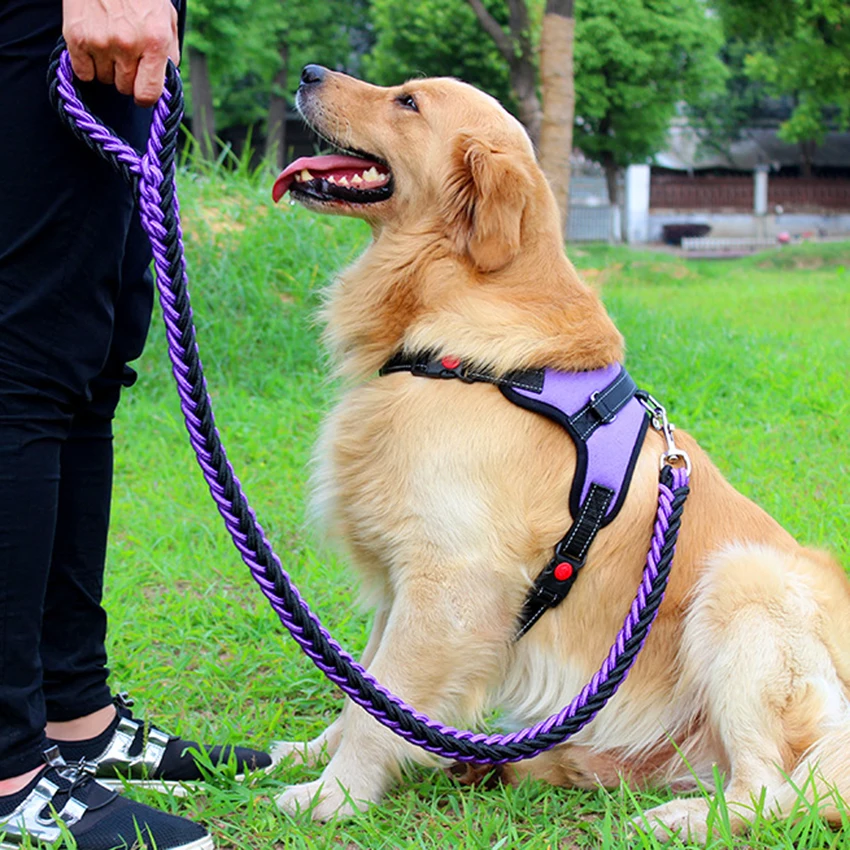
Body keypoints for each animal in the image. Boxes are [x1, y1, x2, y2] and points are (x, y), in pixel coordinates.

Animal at [272, 64, 848, 836]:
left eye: (408, 102)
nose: (308, 73)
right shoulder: (406, 572)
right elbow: (362, 687)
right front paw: (310, 754)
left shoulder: (452, 579)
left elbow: (380, 706)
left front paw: (333, 797)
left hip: (742, 585)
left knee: (775, 789)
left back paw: (672, 819)